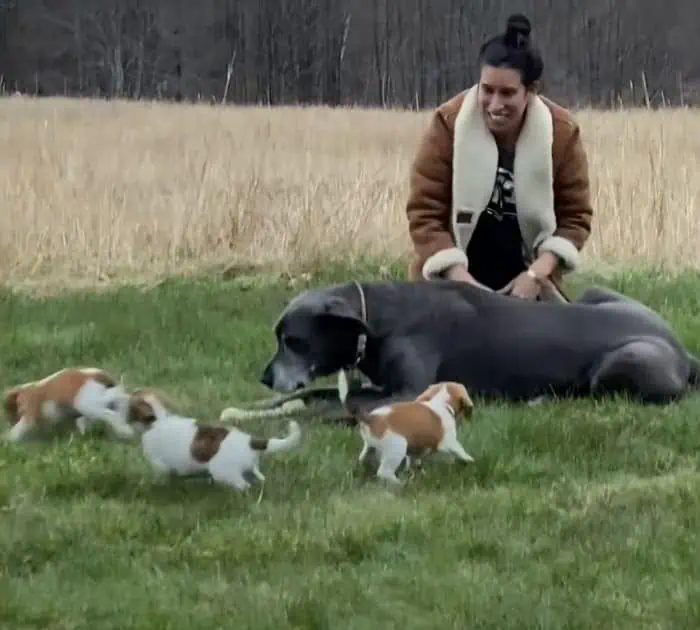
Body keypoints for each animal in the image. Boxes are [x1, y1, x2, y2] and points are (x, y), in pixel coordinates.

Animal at [2, 366, 133, 444]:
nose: (10, 421)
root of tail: (99, 375)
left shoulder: (30, 414)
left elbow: (19, 428)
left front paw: (8, 439)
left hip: (87, 403)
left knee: (111, 412)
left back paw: (124, 430)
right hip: (100, 398)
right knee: (120, 398)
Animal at [127, 390, 302, 494]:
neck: (158, 420)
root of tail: (249, 441)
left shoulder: (159, 463)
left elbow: (163, 475)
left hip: (224, 472)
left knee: (243, 486)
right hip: (248, 469)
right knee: (258, 478)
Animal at [245, 278, 696, 422]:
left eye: (293, 340)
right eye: (279, 337)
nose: (265, 378)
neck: (379, 319)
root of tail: (684, 350)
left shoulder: (407, 393)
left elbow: (331, 407)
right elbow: (315, 394)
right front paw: (252, 408)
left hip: (626, 361)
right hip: (593, 294)